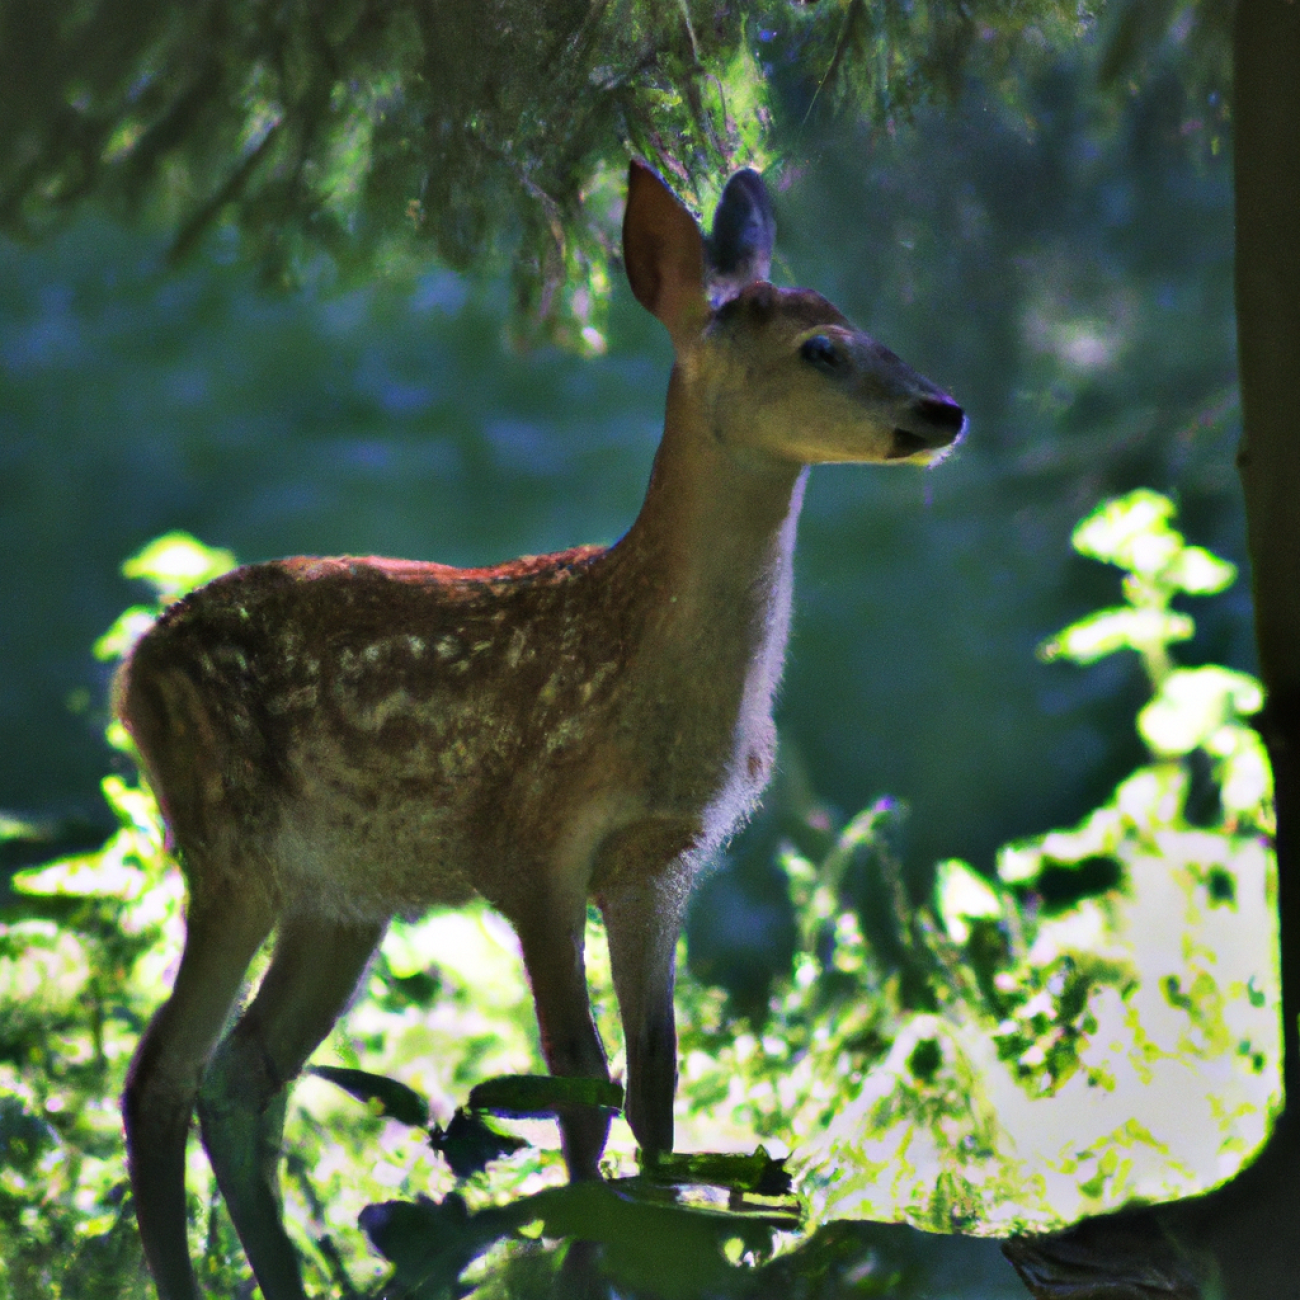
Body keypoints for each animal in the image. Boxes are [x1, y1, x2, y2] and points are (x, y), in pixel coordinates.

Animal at [116, 162, 961, 1300]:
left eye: (863, 325)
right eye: (820, 348)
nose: (944, 408)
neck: (645, 666)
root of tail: (135, 667)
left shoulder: (662, 861)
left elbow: (656, 1082)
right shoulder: (530, 842)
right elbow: (578, 1080)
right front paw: (590, 1256)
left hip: (340, 895)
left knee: (243, 1074)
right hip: (228, 840)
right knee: (160, 1073)